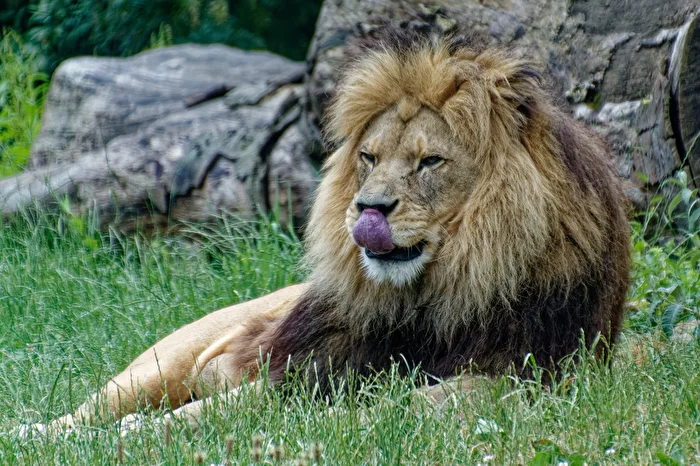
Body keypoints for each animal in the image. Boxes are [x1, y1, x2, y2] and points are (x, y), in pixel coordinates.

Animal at [29, 26, 630, 434]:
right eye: (369, 157)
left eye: (429, 162)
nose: (368, 208)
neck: (433, 299)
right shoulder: (301, 372)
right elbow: (215, 411)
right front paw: (142, 436)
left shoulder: (535, 372)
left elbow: (420, 401)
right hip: (159, 364)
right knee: (84, 413)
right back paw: (40, 435)